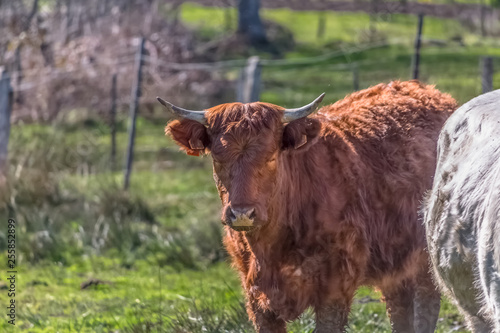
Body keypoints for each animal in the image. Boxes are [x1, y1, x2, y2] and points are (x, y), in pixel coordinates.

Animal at [160, 81, 458, 332]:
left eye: (270, 156)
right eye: (218, 158)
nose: (242, 213)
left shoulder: (335, 288)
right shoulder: (256, 297)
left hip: (426, 259)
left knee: (426, 306)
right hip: (395, 264)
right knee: (400, 308)